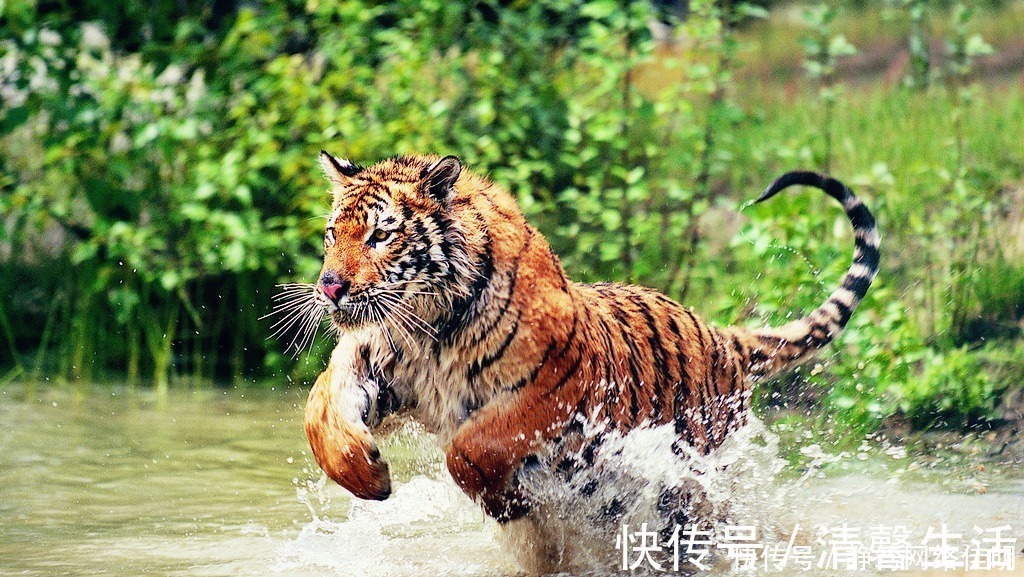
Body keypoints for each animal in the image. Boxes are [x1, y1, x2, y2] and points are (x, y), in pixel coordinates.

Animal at [299, 151, 879, 526]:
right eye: (332, 234)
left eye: (380, 235)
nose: (328, 285)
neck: (429, 325)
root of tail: (721, 336)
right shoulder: (374, 358)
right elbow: (318, 410)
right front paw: (369, 476)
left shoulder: (552, 388)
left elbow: (470, 447)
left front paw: (507, 504)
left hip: (694, 484)